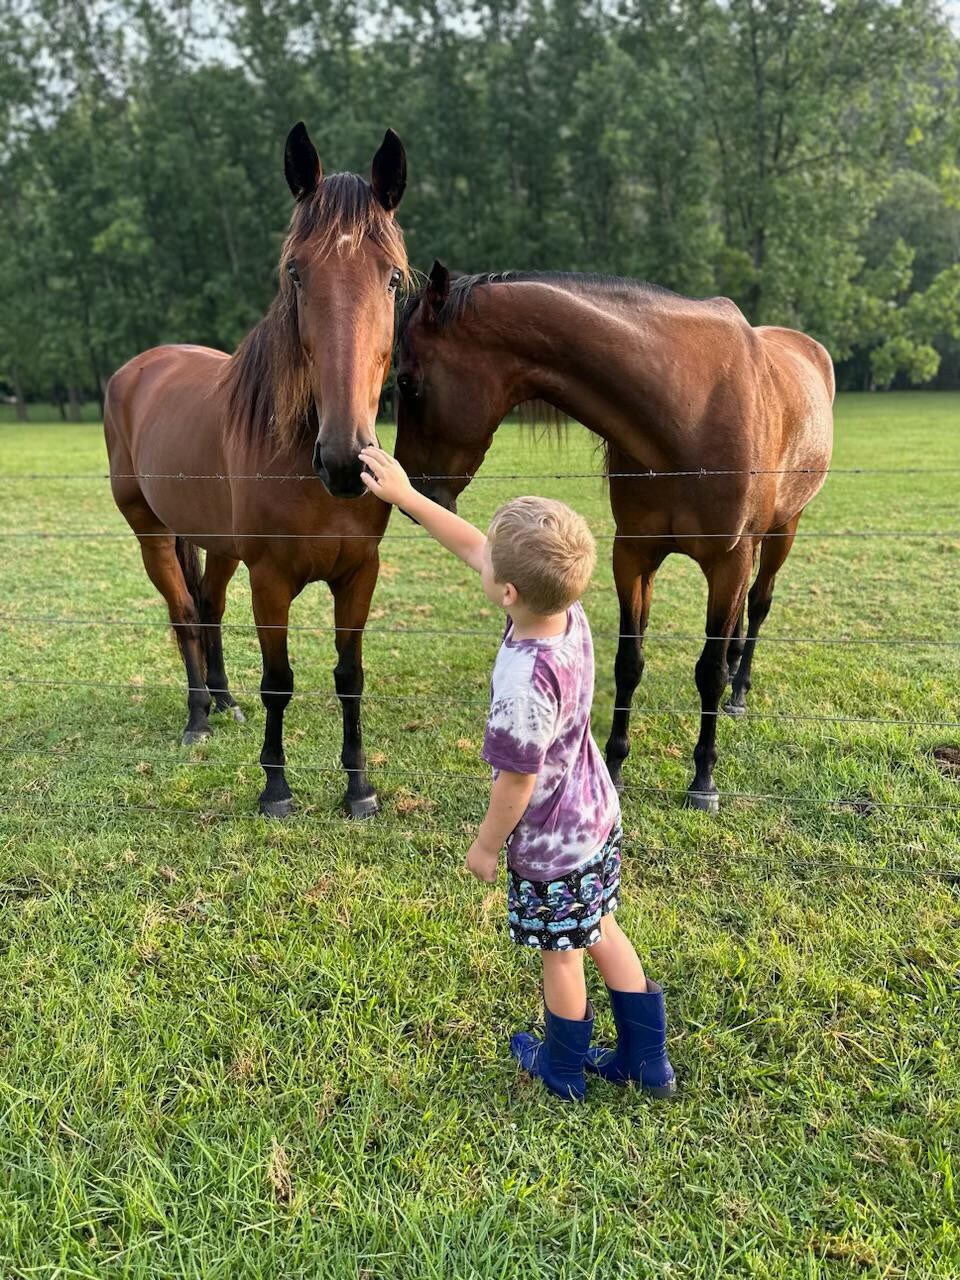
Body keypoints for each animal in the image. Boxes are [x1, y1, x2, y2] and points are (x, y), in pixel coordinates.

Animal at [104, 122, 409, 819]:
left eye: (393, 280)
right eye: (296, 272)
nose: (346, 459)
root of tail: (141, 367)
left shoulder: (360, 573)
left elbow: (349, 679)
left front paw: (359, 791)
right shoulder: (270, 579)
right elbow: (279, 680)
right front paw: (275, 788)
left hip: (217, 544)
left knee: (208, 607)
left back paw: (223, 703)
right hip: (151, 532)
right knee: (183, 612)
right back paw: (197, 718)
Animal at [394, 266, 839, 814]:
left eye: (407, 383)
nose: (414, 494)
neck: (687, 408)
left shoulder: (726, 560)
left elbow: (708, 671)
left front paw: (703, 779)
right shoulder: (633, 554)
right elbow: (629, 662)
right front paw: (617, 764)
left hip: (782, 530)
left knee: (757, 605)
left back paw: (739, 690)